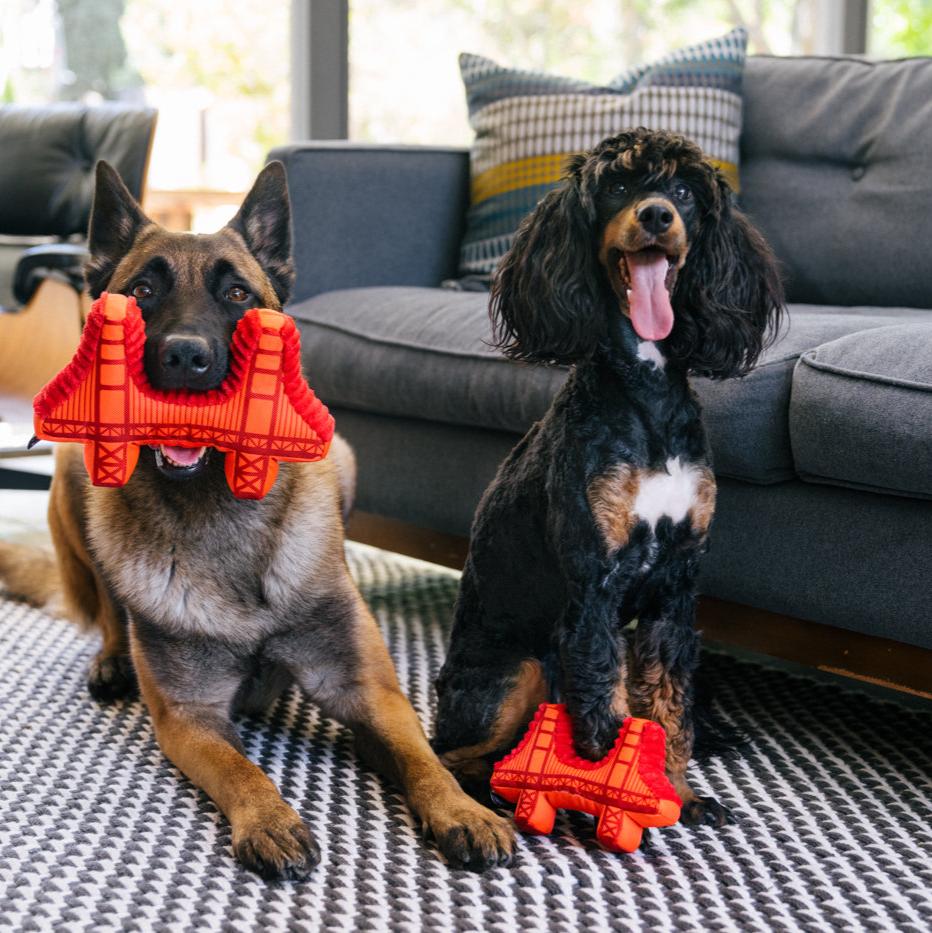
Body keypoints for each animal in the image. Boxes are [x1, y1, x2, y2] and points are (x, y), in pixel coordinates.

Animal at [0, 162, 512, 880]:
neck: (223, 518)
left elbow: (424, 758)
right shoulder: (190, 719)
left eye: (238, 293)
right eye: (143, 291)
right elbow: (244, 771)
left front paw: (462, 808)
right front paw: (270, 820)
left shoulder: (369, 691)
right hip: (73, 472)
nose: (185, 357)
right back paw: (110, 659)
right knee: (104, 604)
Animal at [434, 127, 784, 828]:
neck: (646, 396)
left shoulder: (675, 588)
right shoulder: (593, 583)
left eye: (685, 192)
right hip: (519, 668)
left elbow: (668, 708)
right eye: (618, 184)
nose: (656, 215)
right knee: (454, 756)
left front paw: (678, 794)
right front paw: (609, 804)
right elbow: (603, 708)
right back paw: (495, 793)